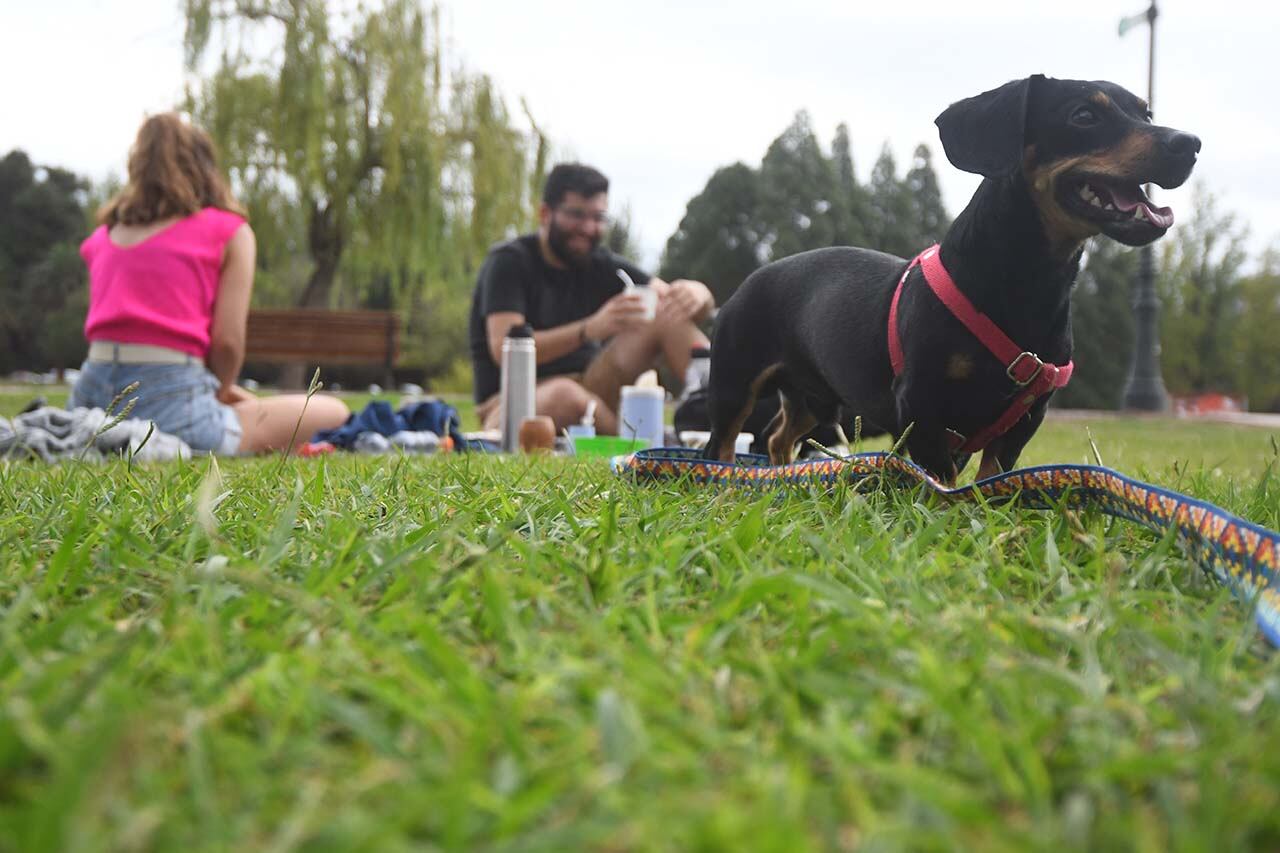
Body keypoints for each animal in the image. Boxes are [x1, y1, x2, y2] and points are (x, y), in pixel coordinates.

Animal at [711, 74, 1198, 479]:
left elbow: (993, 478)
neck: (1025, 285)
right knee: (722, 445)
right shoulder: (920, 408)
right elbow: (942, 482)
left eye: (1146, 114)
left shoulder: (1024, 419)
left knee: (778, 436)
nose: (1190, 143)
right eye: (1083, 116)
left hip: (812, 399)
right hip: (735, 383)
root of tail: (753, 277)